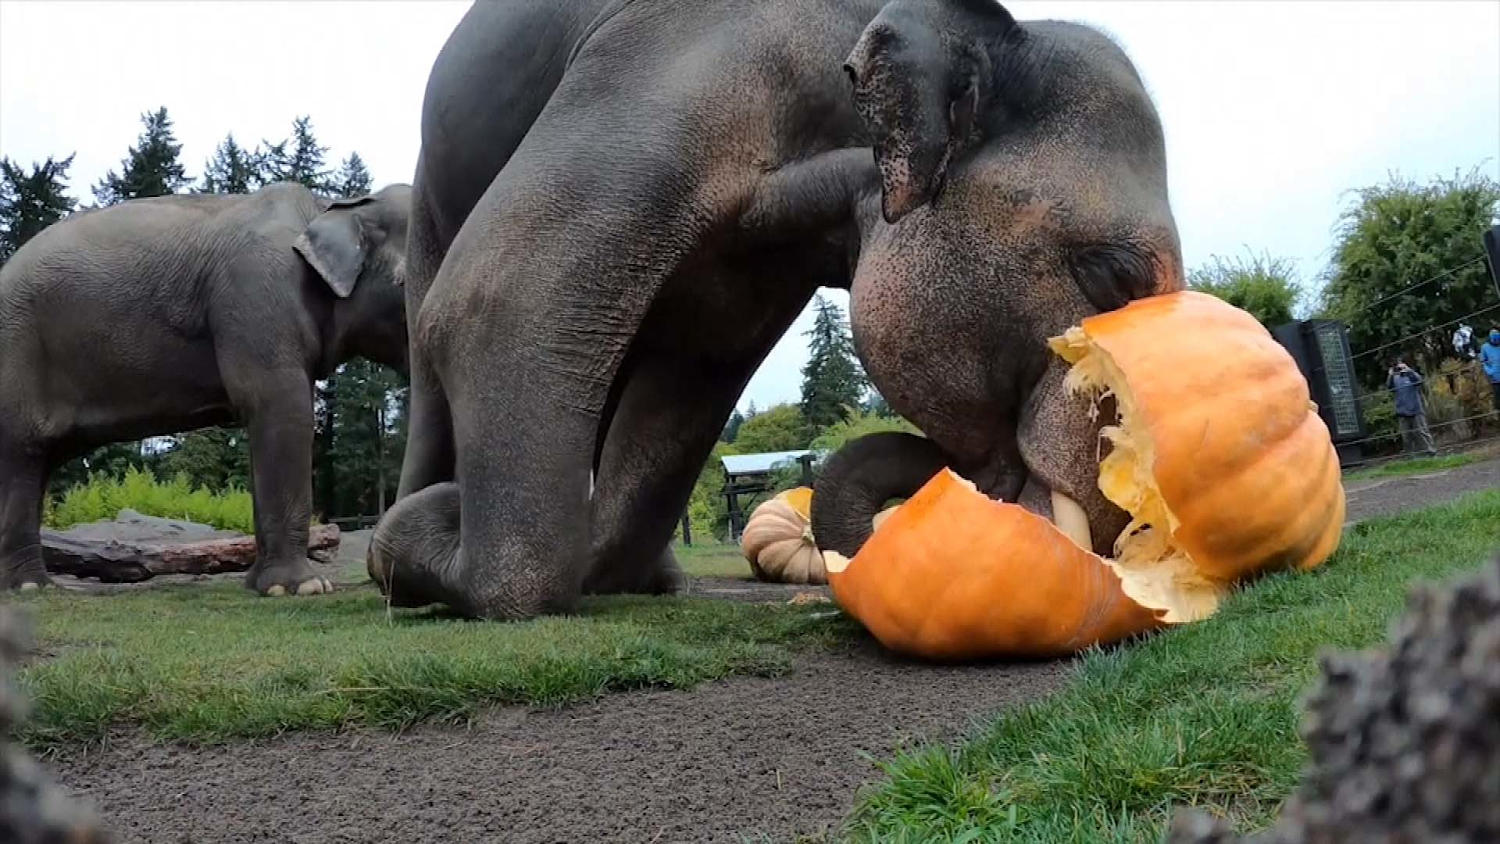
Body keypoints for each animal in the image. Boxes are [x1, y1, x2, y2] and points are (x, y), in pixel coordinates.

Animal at [0, 183, 414, 593]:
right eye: (405, 284)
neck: (327, 206)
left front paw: (260, 586)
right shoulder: (258, 296)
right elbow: (281, 409)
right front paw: (303, 588)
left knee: (40, 460)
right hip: (17, 350)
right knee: (22, 452)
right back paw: (31, 587)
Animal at [372, 0, 1182, 620]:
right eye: (1113, 277)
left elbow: (686, 384)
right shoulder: (686, 63)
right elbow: (497, 294)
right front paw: (425, 543)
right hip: (428, 197)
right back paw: (392, 558)